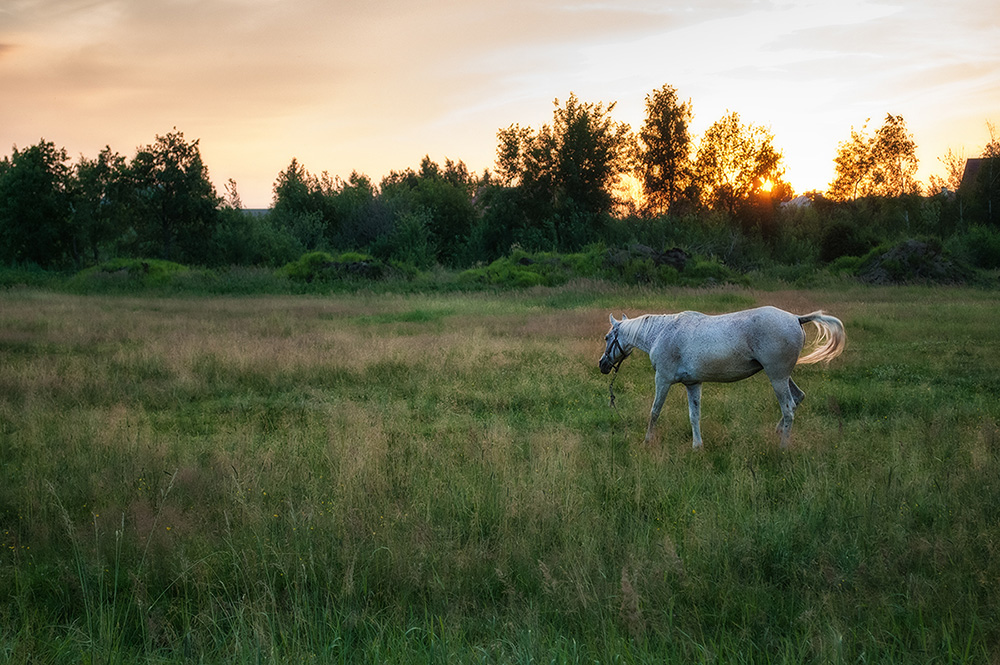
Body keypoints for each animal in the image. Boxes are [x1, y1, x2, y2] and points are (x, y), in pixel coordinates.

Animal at [600, 304, 844, 448]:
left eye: (607, 338)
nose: (602, 365)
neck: (661, 332)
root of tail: (796, 318)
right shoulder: (693, 383)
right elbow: (694, 415)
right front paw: (697, 446)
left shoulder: (663, 379)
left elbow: (654, 412)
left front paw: (647, 441)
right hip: (782, 376)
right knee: (798, 397)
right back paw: (779, 430)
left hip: (777, 378)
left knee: (789, 408)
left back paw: (783, 446)